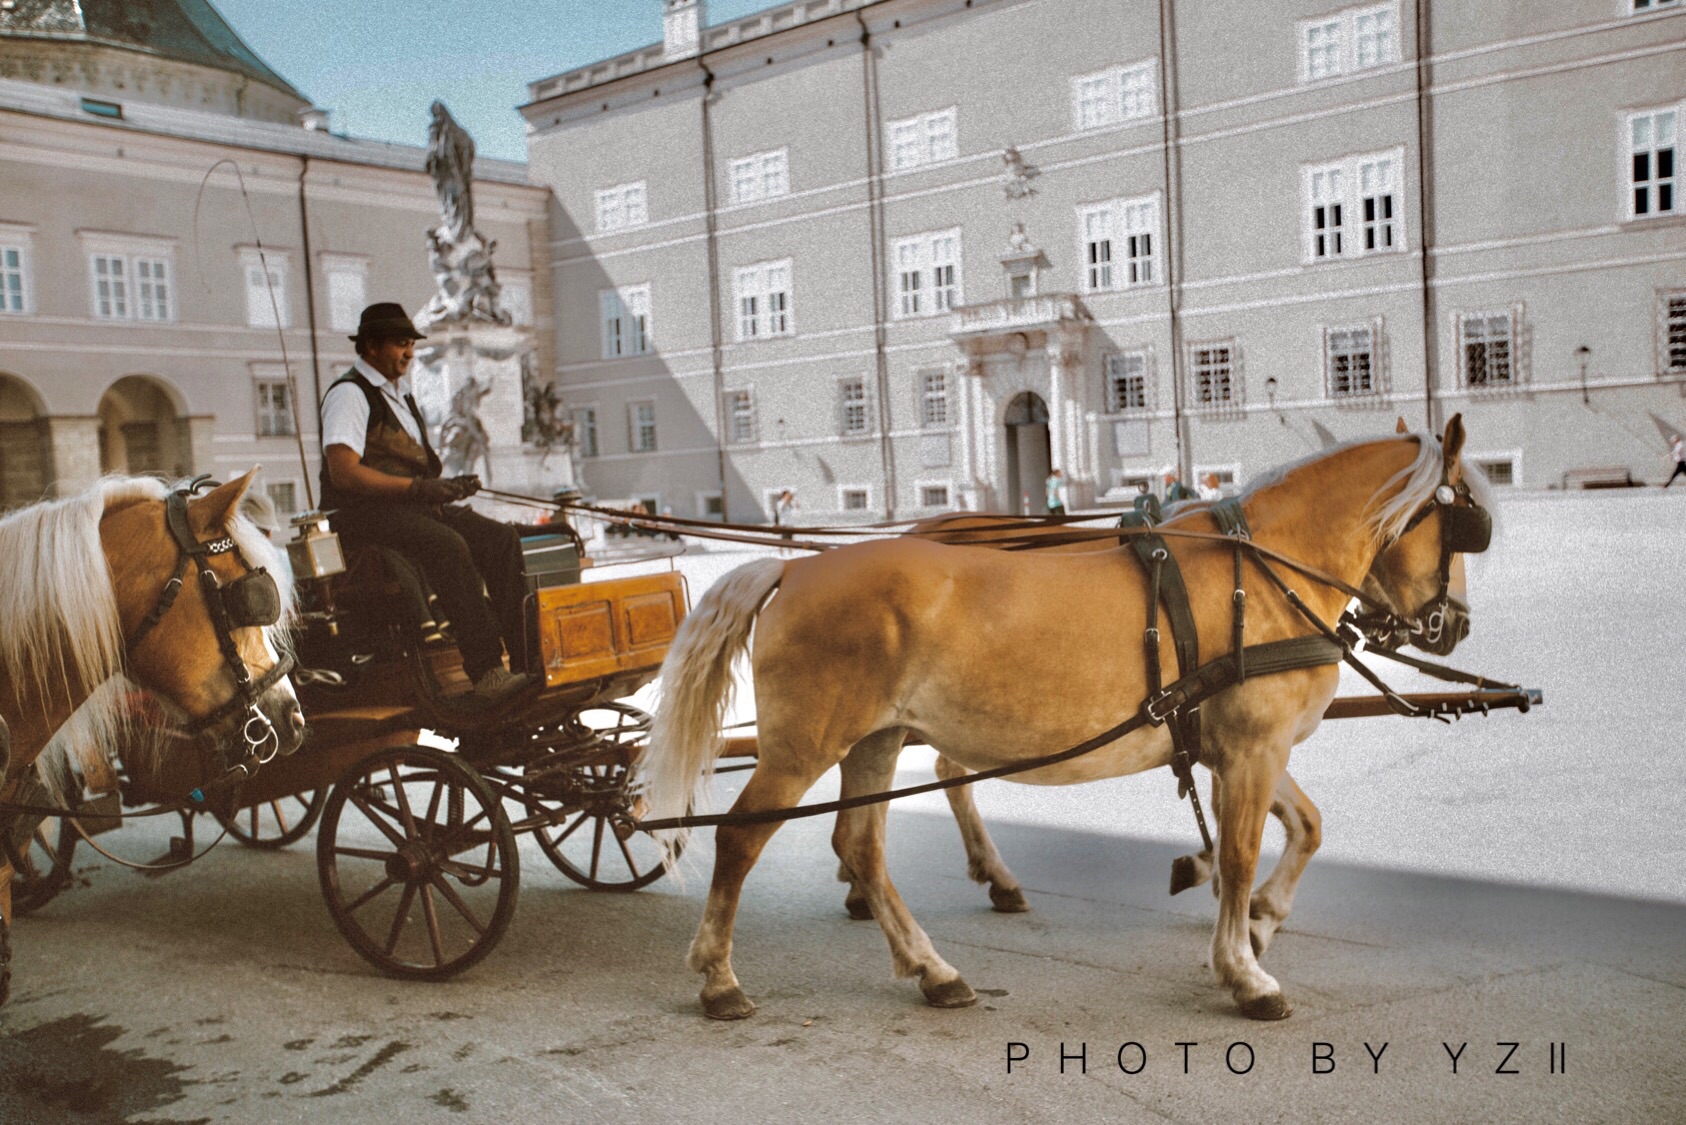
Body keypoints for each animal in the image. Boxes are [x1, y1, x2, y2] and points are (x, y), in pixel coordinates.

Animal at [640, 419, 1490, 1018]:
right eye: (1465, 526)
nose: (1454, 624)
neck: (1262, 571)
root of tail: (794, 567)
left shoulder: (1236, 747)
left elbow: (1302, 827)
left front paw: (1258, 921)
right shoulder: (1252, 747)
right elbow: (1243, 853)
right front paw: (1246, 970)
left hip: (874, 739)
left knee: (860, 845)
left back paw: (932, 968)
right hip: (804, 744)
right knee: (742, 837)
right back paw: (718, 977)